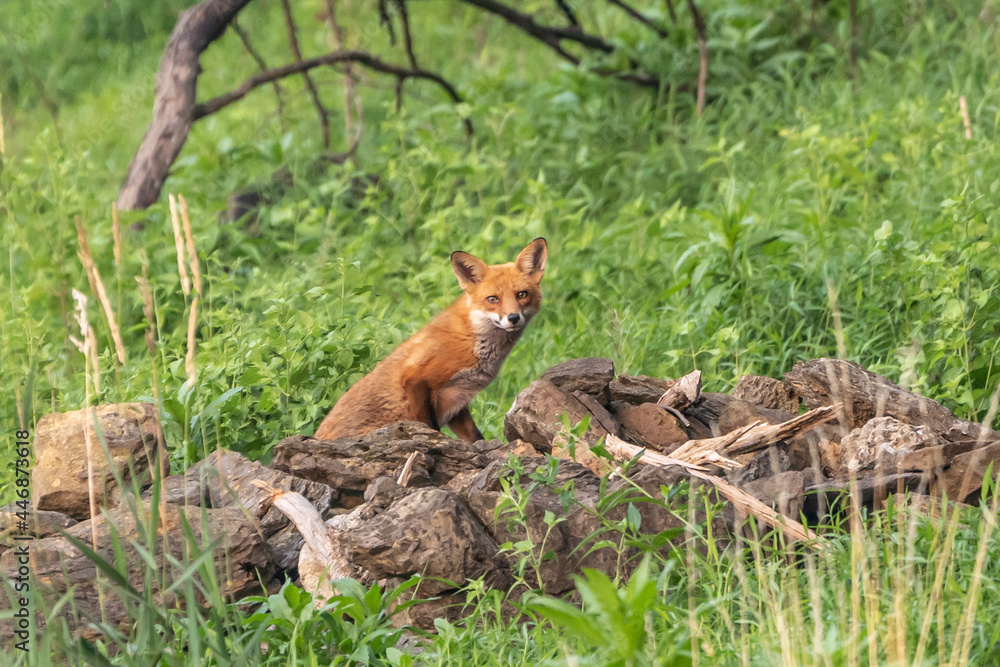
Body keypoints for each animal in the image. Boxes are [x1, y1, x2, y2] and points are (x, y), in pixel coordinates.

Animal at [314, 238, 548, 443]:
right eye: (493, 299)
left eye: (521, 294)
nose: (513, 318)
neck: (471, 339)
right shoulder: (416, 380)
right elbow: (431, 428)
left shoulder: (457, 401)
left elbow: (474, 436)